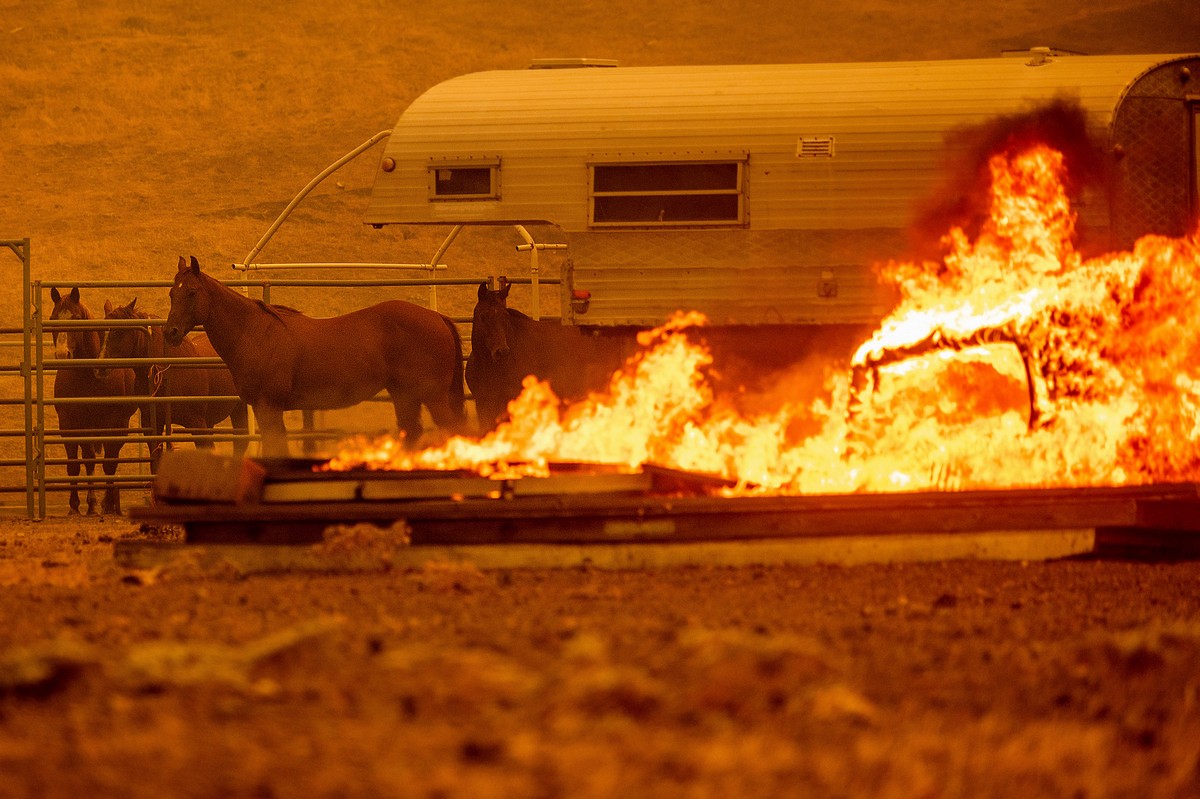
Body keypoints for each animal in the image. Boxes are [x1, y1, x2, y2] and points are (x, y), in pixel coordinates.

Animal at [47, 286, 137, 515]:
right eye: (52, 318)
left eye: (77, 318)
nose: (62, 354)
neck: (87, 376)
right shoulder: (69, 424)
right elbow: (75, 465)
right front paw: (74, 507)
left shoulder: (114, 425)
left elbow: (109, 464)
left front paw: (108, 504)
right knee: (89, 460)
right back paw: (92, 504)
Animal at [166, 255, 465, 453]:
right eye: (171, 293)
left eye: (191, 292)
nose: (170, 332)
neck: (255, 332)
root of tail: (438, 317)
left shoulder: (268, 407)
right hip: (405, 395)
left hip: (432, 396)